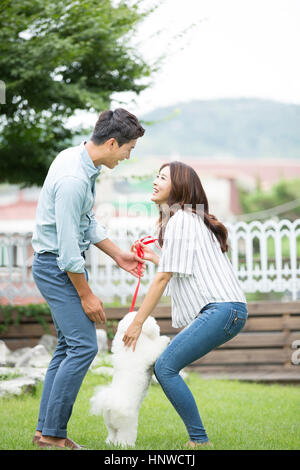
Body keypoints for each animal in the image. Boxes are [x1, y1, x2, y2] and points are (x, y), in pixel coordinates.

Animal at [90, 312, 170, 448]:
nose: (156, 325)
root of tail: (111, 405)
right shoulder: (148, 351)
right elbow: (156, 346)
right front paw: (165, 339)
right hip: (127, 425)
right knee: (124, 437)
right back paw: (127, 445)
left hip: (111, 426)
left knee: (112, 435)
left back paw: (110, 443)